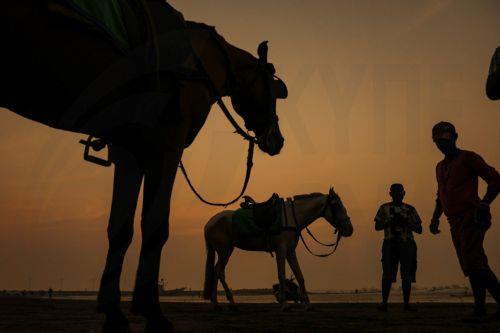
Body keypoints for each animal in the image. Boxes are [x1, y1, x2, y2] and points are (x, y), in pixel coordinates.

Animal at [0, 1, 288, 330]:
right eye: (275, 90)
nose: (277, 140)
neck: (202, 62)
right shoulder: (166, 146)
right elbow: (156, 227)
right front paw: (152, 311)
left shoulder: (130, 149)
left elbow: (120, 228)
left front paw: (113, 311)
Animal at [202, 187, 352, 312]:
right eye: (336, 205)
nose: (350, 229)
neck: (291, 218)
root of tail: (209, 223)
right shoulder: (281, 250)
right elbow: (281, 275)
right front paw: (284, 304)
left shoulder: (290, 252)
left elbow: (299, 275)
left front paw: (307, 304)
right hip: (224, 251)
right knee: (217, 271)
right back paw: (218, 303)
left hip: (226, 251)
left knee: (220, 272)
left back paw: (230, 303)